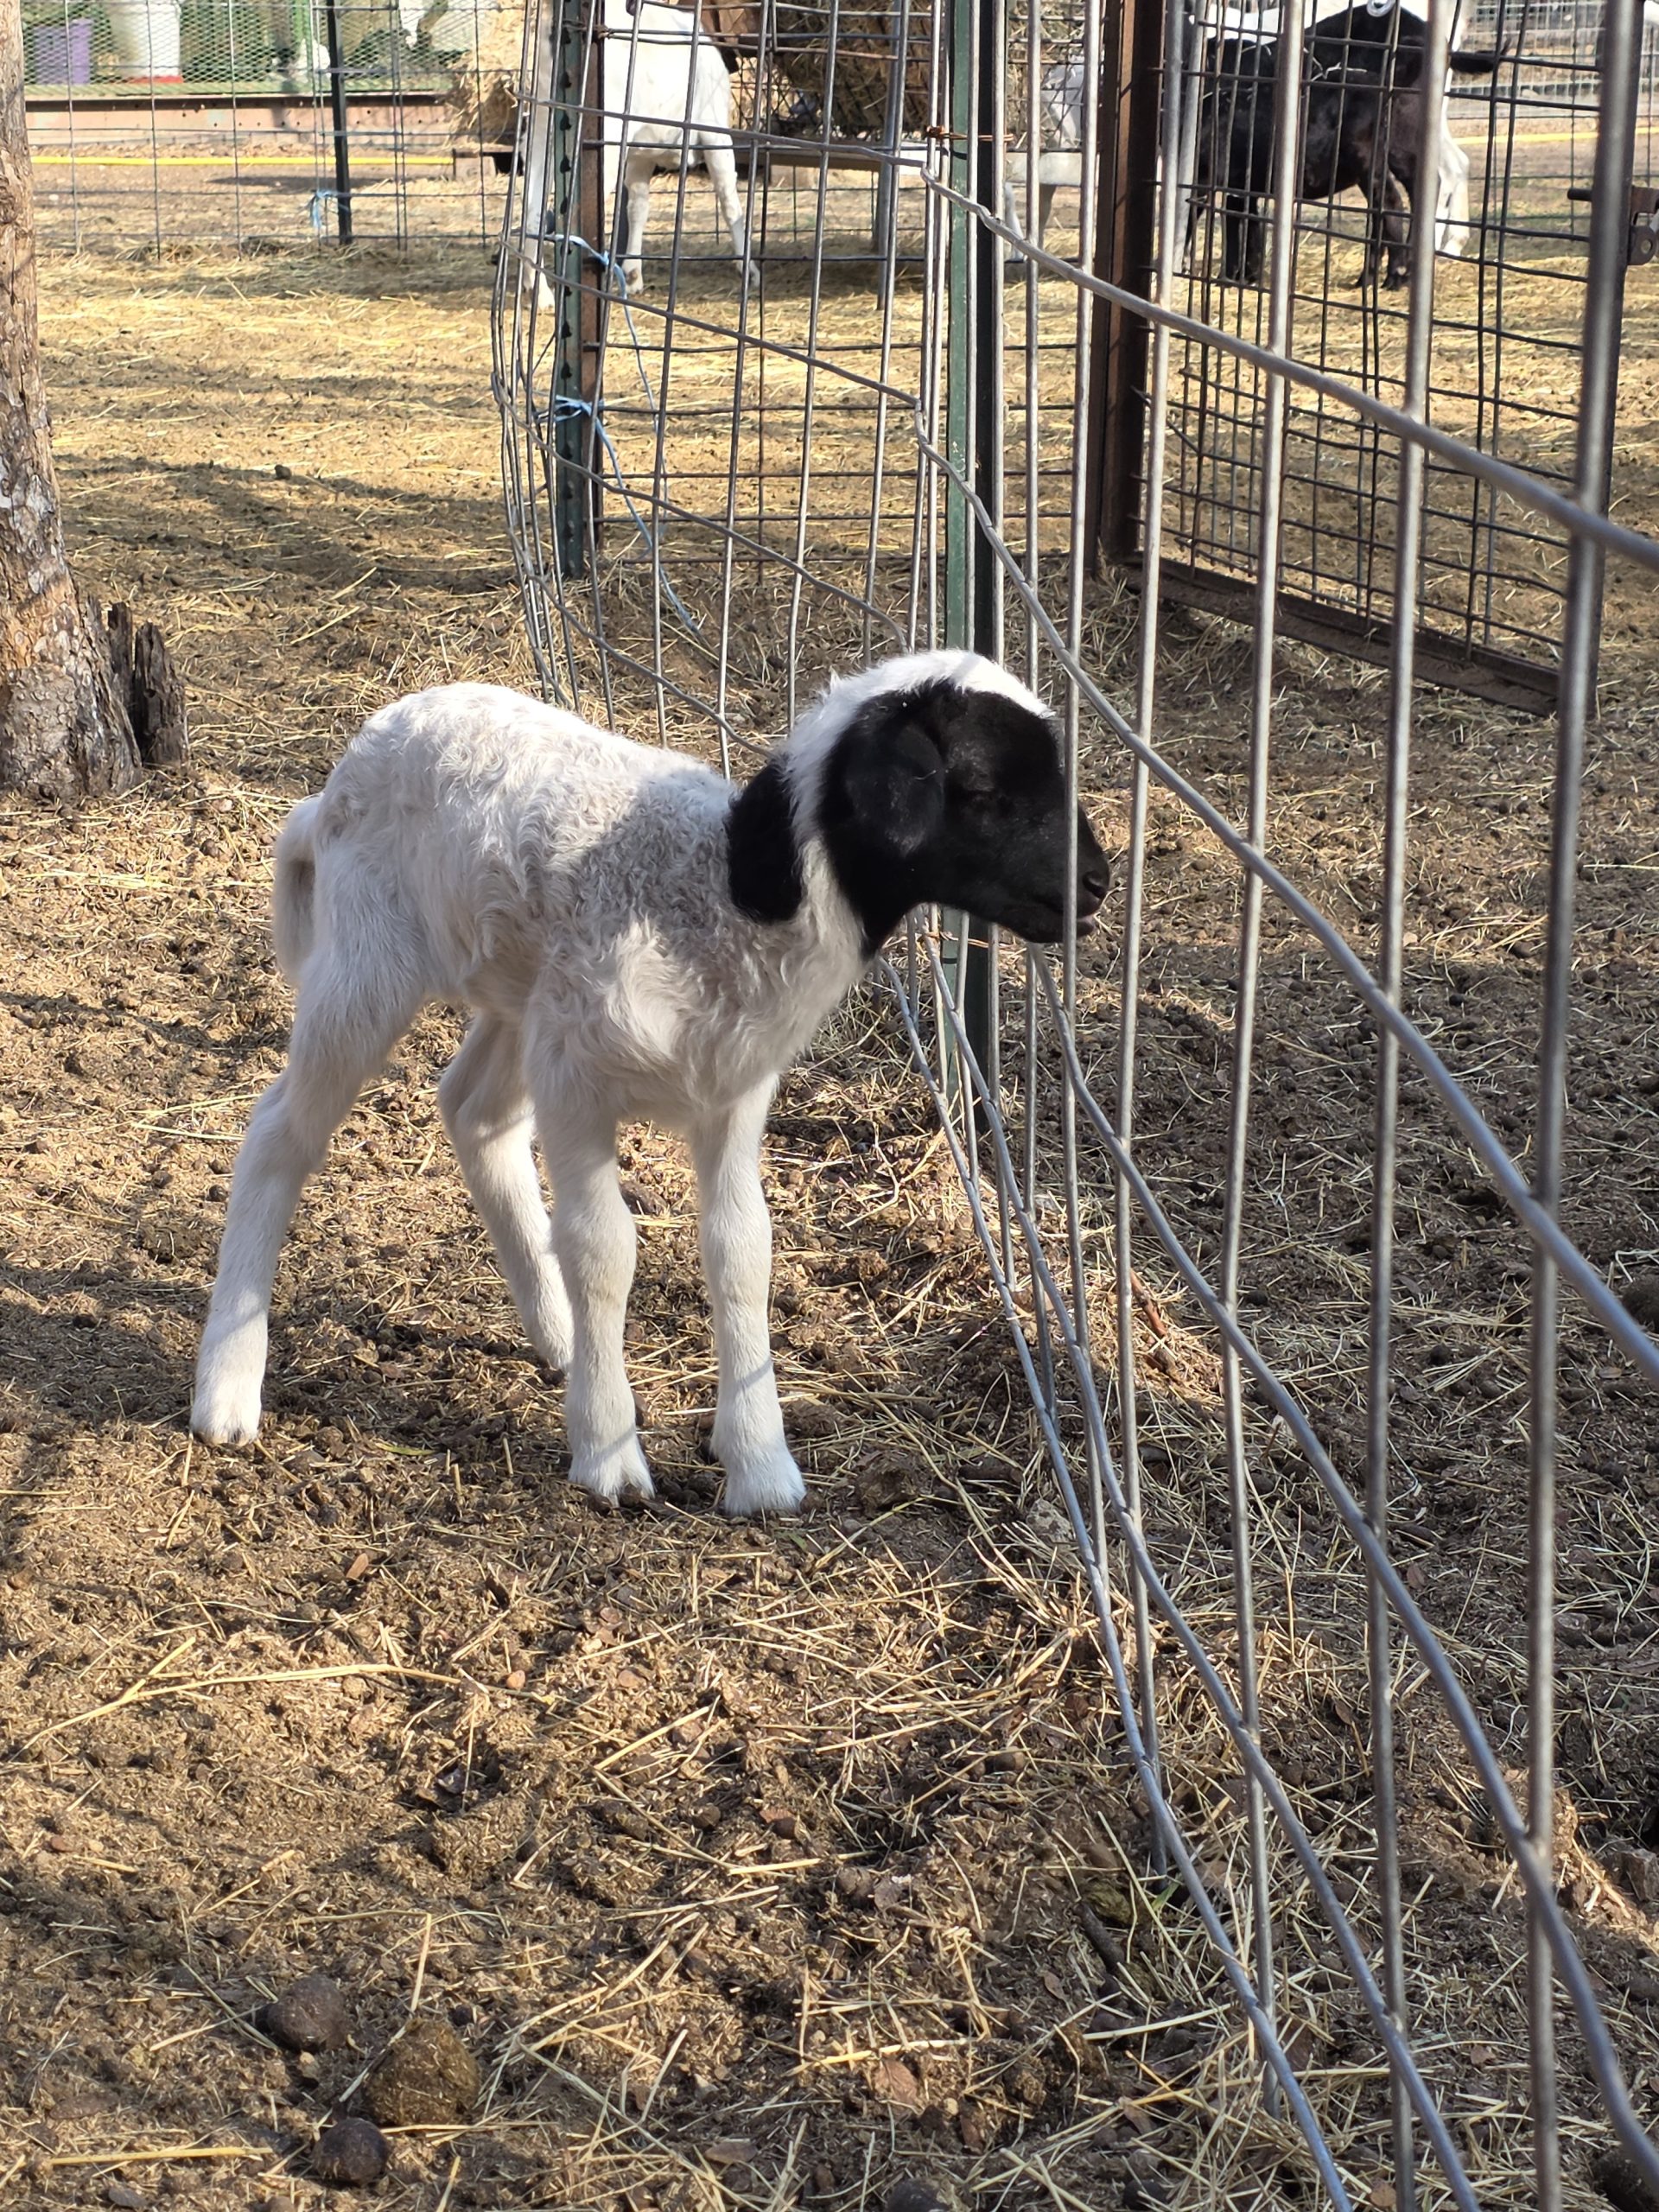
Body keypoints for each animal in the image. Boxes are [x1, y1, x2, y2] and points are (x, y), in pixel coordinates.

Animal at [189, 653, 1110, 1518]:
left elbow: (741, 1251)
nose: (1095, 885)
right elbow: (604, 1248)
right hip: (369, 962)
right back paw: (227, 1390)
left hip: (524, 995)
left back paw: (558, 1333)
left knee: (475, 1113)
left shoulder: (731, 1096)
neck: (730, 893)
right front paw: (608, 1456)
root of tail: (350, 763)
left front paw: (761, 1468)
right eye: (981, 789)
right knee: (279, 1136)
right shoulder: (577, 1085)